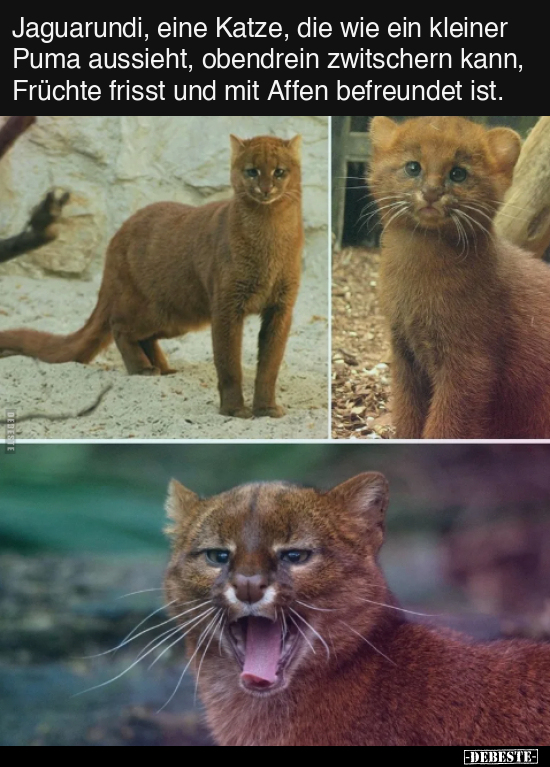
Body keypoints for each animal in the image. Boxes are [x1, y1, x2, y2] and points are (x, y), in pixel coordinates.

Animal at [368, 114, 550, 438]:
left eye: (458, 173)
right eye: (413, 167)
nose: (431, 192)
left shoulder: (470, 363)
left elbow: (446, 426)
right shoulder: (404, 353)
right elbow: (407, 414)